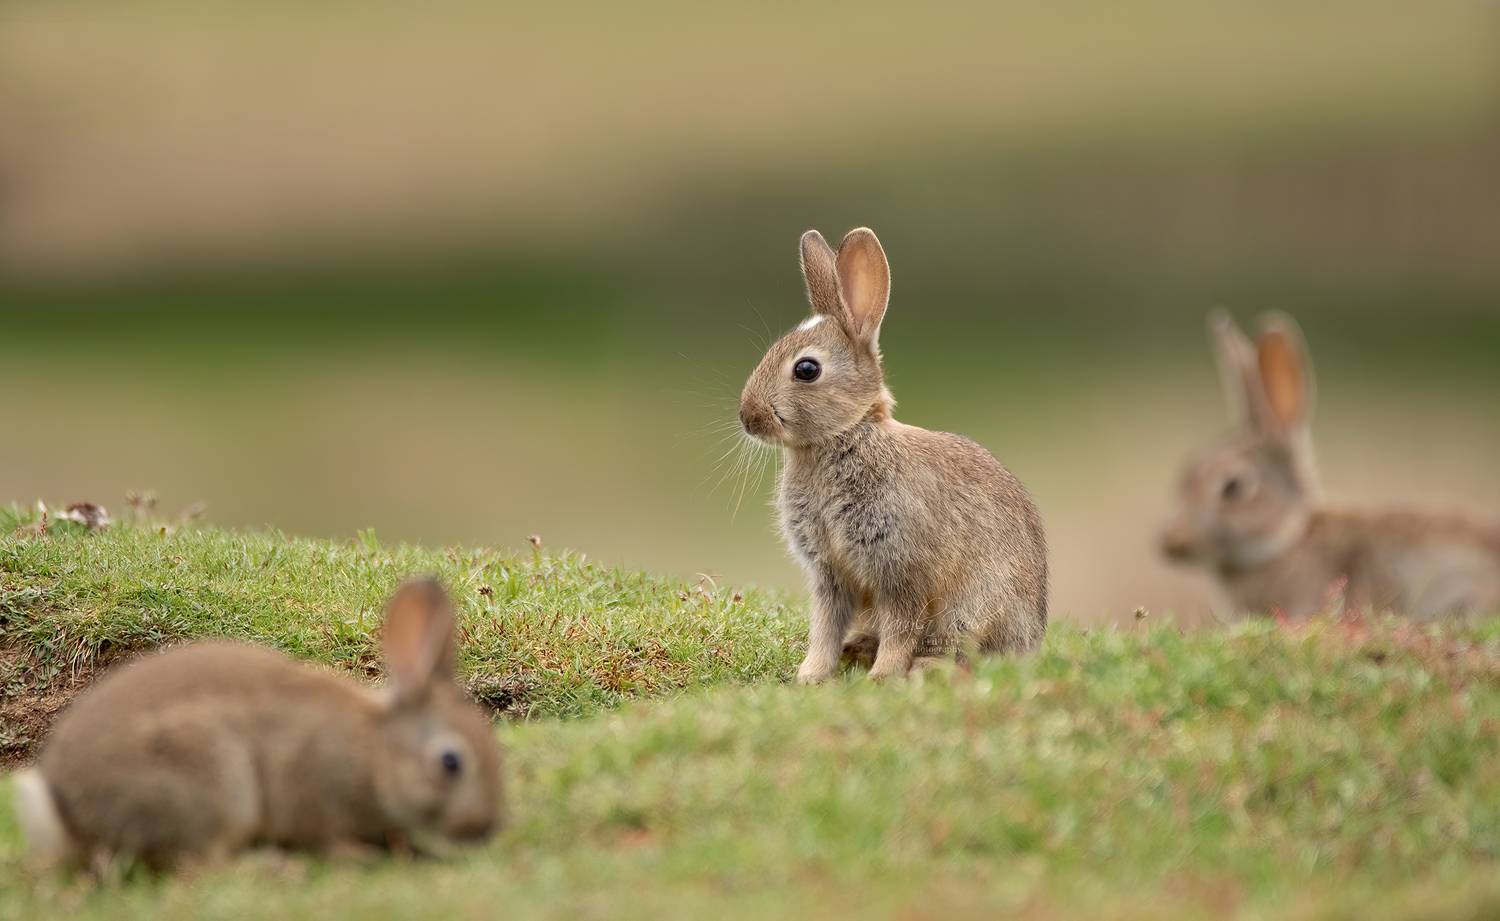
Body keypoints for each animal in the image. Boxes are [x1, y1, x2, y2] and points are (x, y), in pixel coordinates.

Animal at [12, 576, 503, 871]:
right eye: (451, 763)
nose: (486, 828)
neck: (376, 750)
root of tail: (69, 816)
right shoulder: (312, 783)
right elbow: (322, 834)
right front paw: (357, 855)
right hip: (212, 783)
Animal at [738, 227, 1048, 683]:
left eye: (806, 369)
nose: (748, 417)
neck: (845, 436)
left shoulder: (903, 571)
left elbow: (901, 627)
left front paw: (882, 678)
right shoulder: (830, 577)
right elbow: (825, 627)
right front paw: (811, 675)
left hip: (972, 611)